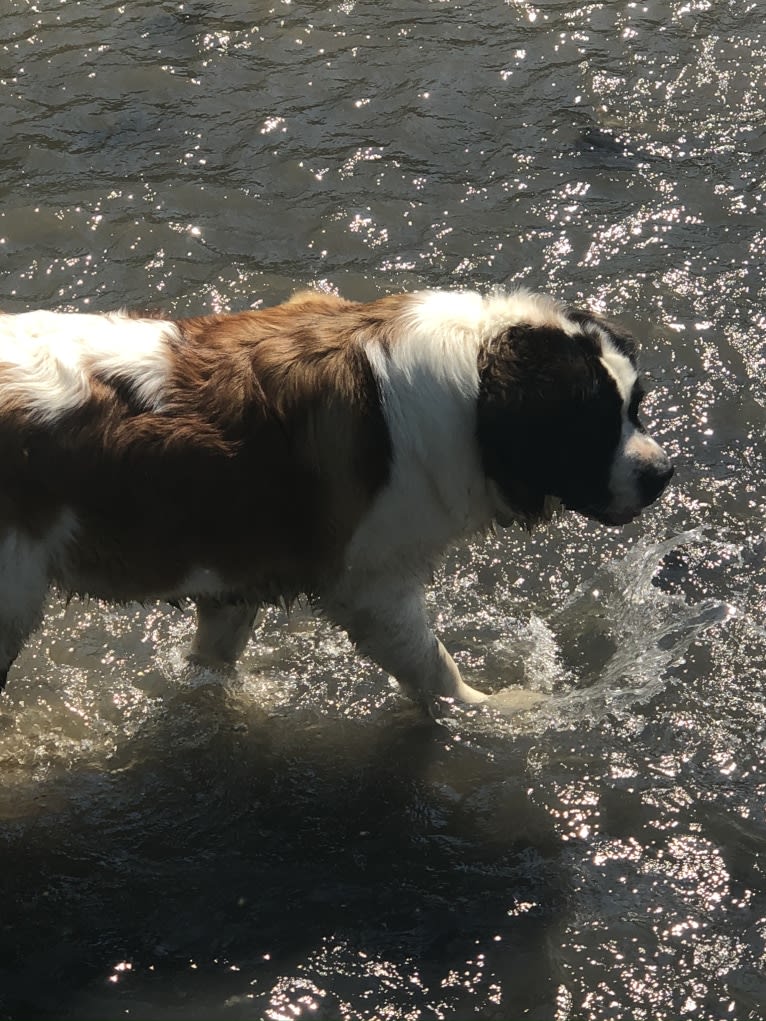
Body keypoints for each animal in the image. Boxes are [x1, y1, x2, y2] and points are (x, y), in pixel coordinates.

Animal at [0, 283, 669, 706]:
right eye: (592, 430)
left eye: (635, 407)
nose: (663, 473)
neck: (472, 387)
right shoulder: (373, 588)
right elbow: (435, 667)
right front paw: (493, 710)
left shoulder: (237, 571)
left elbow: (214, 654)